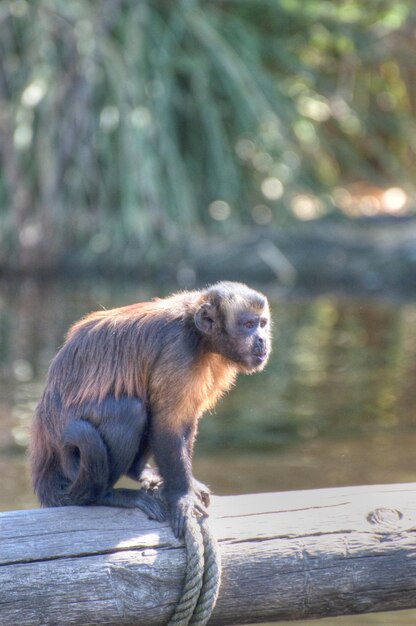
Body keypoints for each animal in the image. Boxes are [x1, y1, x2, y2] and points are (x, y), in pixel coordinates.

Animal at [29, 280, 270, 532]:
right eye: (248, 325)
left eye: (262, 324)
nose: (262, 339)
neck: (198, 335)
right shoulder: (179, 351)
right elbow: (167, 424)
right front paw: (183, 495)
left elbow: (184, 419)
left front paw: (189, 487)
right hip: (71, 461)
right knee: (130, 411)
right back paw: (103, 496)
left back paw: (137, 471)